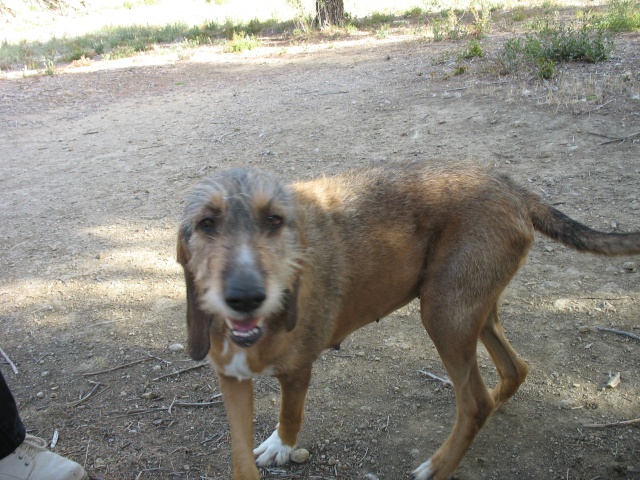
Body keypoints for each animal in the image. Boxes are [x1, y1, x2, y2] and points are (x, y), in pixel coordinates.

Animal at [176, 162, 640, 480]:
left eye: (274, 220)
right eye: (206, 224)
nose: (245, 296)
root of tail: (513, 188)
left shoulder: (297, 371)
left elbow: (290, 416)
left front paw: (280, 447)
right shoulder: (231, 379)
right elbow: (240, 457)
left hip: (443, 317)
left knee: (475, 403)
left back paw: (438, 466)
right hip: (473, 313)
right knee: (514, 370)